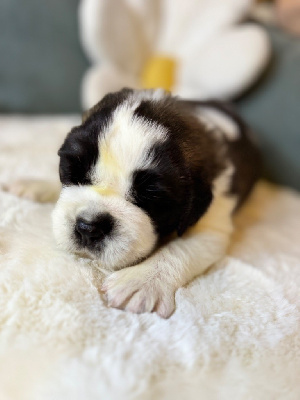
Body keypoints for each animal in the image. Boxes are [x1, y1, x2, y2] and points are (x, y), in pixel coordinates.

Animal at [5, 89, 262, 318]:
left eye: (150, 197)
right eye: (74, 172)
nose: (89, 227)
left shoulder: (212, 224)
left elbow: (180, 249)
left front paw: (143, 280)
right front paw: (38, 184)